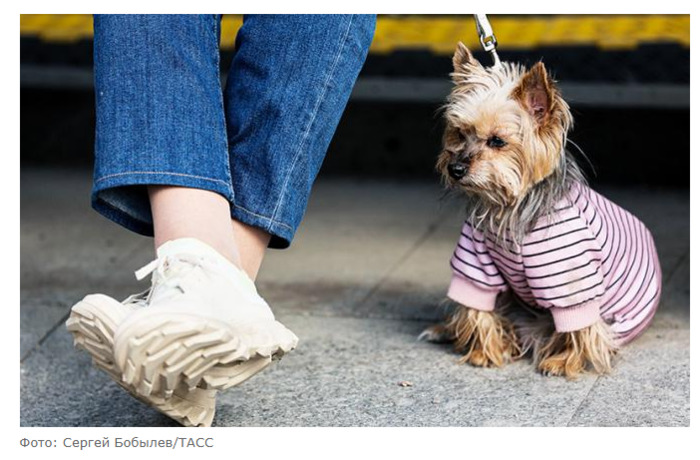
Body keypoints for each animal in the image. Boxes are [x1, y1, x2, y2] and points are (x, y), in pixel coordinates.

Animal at [421, 43, 662, 378]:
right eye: (459, 133)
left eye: (497, 141)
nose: (455, 169)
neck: (509, 207)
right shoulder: (476, 261)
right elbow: (476, 304)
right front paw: (484, 352)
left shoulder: (569, 273)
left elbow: (579, 323)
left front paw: (565, 361)